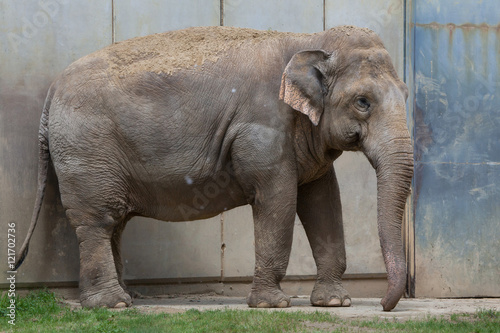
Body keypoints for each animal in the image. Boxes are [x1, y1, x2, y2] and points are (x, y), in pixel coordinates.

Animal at [15, 24, 414, 310]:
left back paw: (125, 298)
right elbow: (278, 199)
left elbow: (323, 201)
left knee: (114, 223)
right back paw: (111, 305)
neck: (308, 40)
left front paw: (334, 302)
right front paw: (272, 305)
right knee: (97, 221)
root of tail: (51, 93)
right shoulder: (261, 129)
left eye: (407, 94)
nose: (383, 304)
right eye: (363, 102)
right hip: (86, 150)